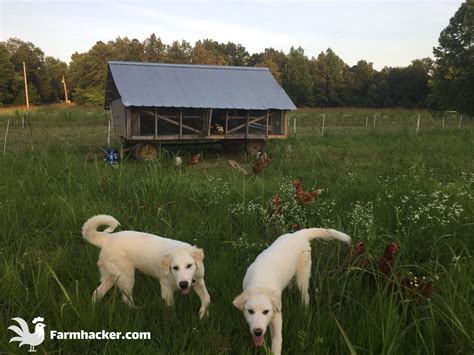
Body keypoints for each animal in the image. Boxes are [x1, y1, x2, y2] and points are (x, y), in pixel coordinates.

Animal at [82, 216, 211, 322]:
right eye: (175, 268)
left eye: (189, 265)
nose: (183, 284)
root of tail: (107, 238)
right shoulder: (166, 289)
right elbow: (171, 309)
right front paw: (173, 322)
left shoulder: (199, 281)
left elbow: (207, 298)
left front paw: (203, 315)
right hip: (126, 277)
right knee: (126, 299)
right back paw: (137, 311)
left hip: (113, 277)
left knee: (97, 293)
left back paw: (94, 309)